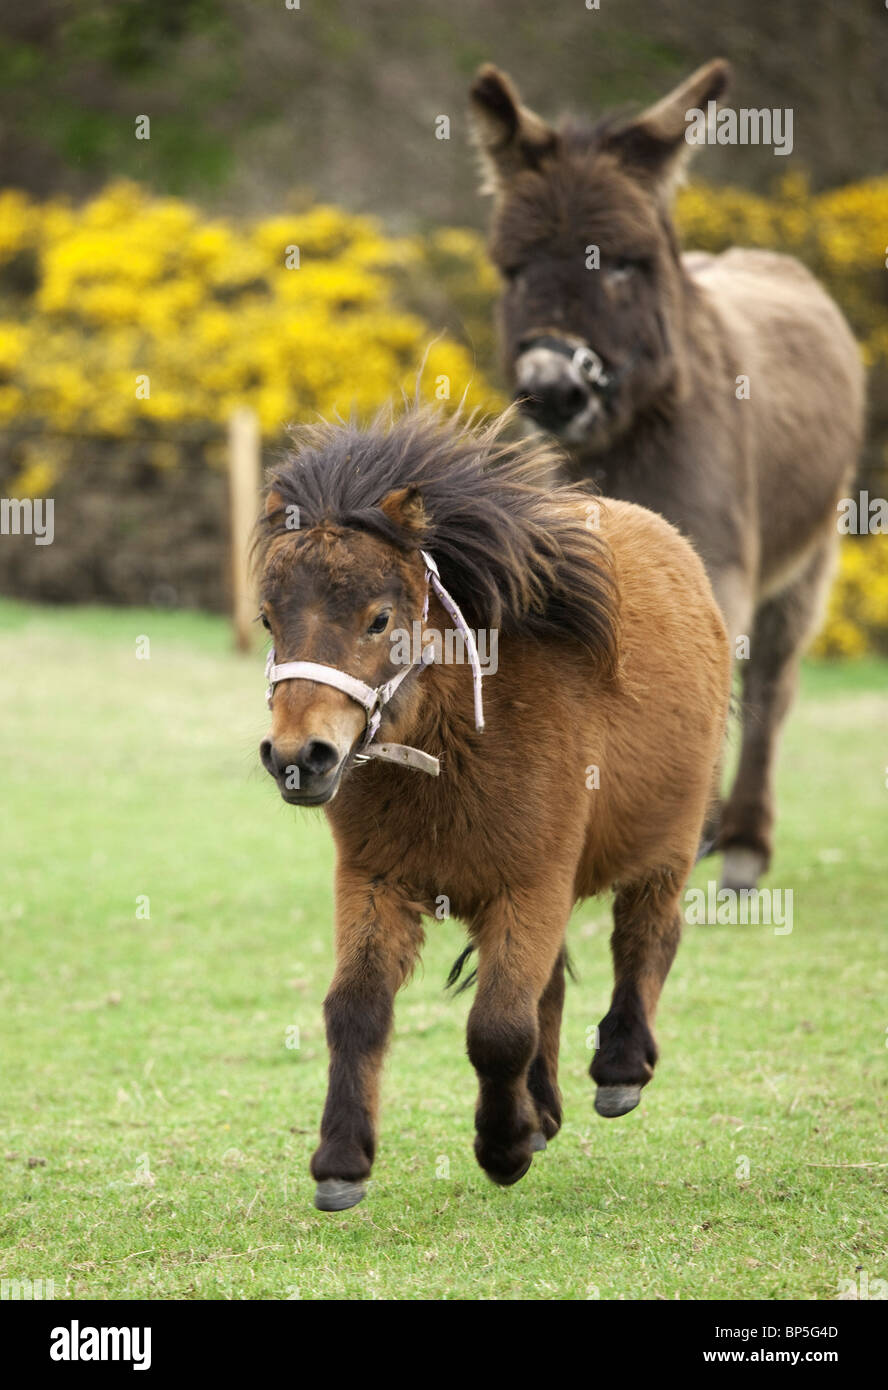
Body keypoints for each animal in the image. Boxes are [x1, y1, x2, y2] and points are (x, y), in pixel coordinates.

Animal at [254, 405, 731, 1211]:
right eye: (267, 620)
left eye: (380, 619)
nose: (299, 758)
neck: (456, 743)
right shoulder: (374, 882)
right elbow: (356, 1010)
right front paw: (343, 1160)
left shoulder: (529, 885)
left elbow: (498, 1028)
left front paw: (503, 1147)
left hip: (666, 847)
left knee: (646, 937)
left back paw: (620, 1068)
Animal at [469, 59, 865, 892]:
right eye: (514, 270)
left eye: (623, 264)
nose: (553, 388)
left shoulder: (719, 561)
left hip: (810, 555)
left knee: (772, 681)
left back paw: (742, 844)